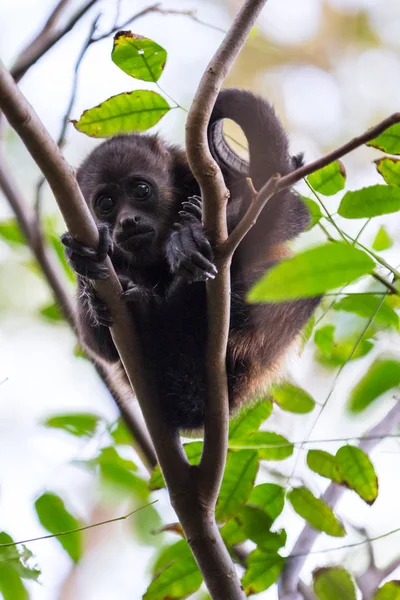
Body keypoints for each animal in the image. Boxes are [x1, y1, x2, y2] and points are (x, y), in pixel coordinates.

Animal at [61, 89, 318, 428]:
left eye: (141, 189)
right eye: (105, 204)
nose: (127, 221)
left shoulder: (200, 175)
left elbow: (290, 212)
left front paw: (185, 235)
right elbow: (100, 348)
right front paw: (81, 263)